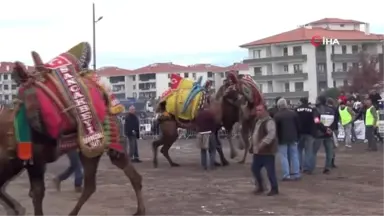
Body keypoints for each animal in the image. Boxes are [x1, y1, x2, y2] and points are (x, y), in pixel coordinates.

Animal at [0, 42, 146, 216]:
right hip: (91, 150)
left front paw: (18, 209)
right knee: (94, 184)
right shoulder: (17, 162)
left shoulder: (34, 160)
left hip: (104, 144)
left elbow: (36, 193)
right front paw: (16, 209)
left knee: (121, 174)